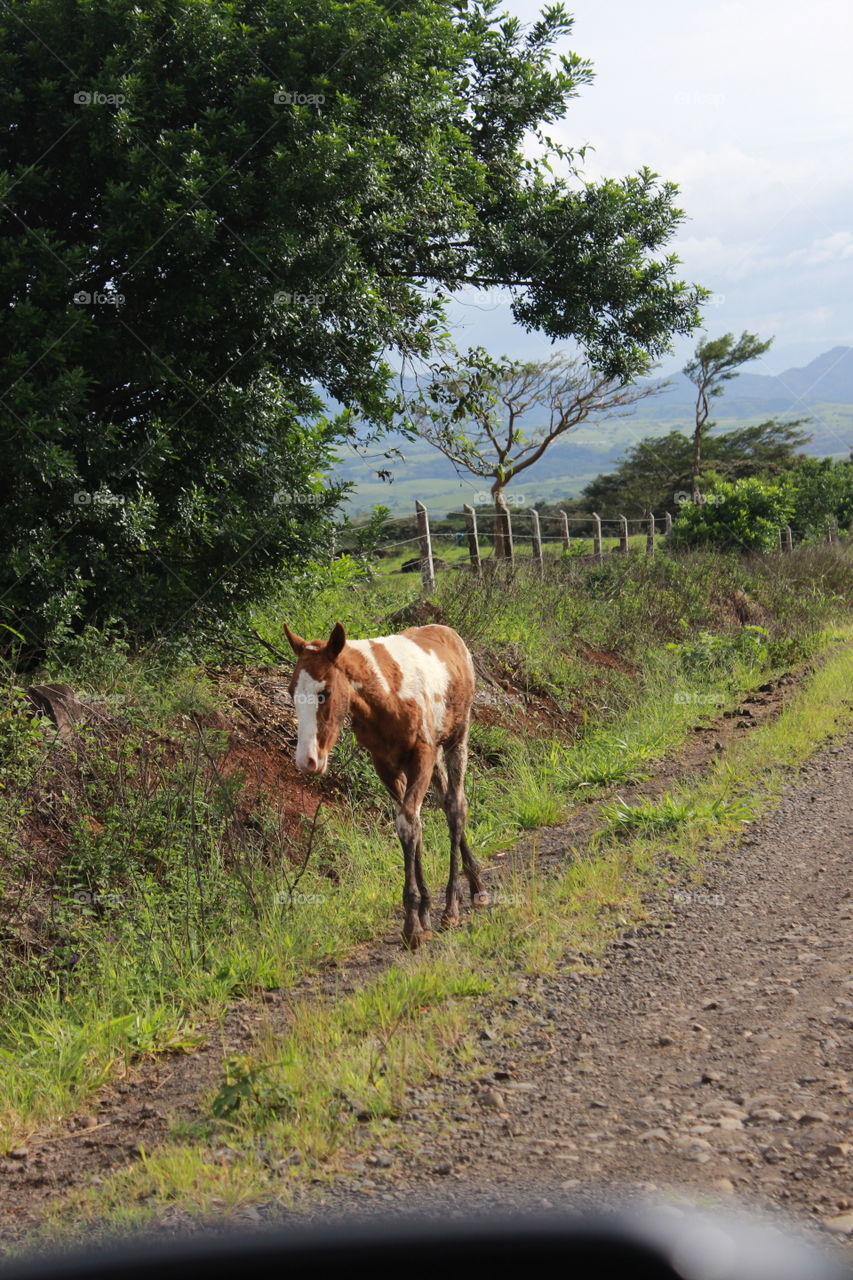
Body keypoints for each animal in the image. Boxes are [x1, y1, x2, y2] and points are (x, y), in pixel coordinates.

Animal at [284, 619, 489, 952]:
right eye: (292, 691)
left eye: (324, 692)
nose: (308, 760)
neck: (385, 697)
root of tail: (450, 633)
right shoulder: (385, 764)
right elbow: (412, 826)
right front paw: (422, 916)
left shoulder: (421, 755)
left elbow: (408, 823)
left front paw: (414, 925)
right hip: (434, 757)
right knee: (444, 803)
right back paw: (475, 885)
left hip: (456, 738)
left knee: (456, 807)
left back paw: (454, 906)